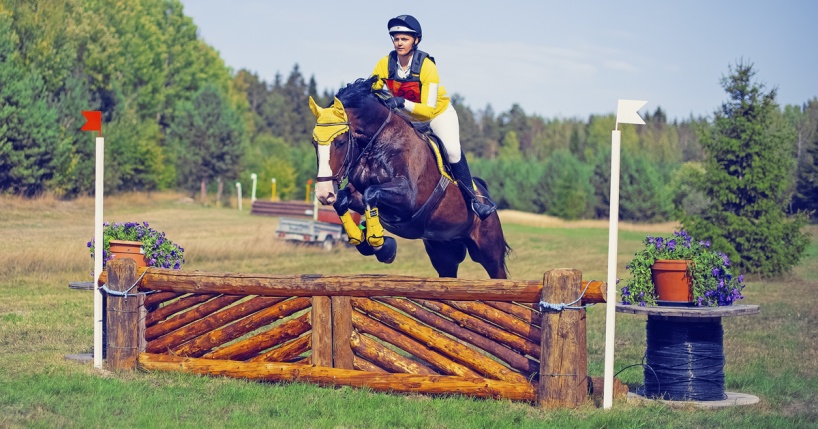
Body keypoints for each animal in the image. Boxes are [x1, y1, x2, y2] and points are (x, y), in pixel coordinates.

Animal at [308, 75, 510, 280]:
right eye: (314, 143)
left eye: (340, 143)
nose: (324, 193)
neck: (379, 144)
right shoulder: (357, 191)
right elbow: (344, 199)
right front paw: (362, 239)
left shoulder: (409, 198)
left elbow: (371, 193)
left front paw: (380, 245)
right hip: (444, 251)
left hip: (488, 250)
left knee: (497, 272)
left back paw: (480, 207)